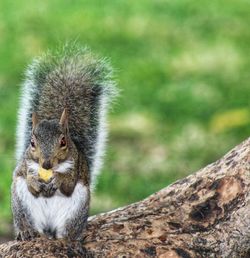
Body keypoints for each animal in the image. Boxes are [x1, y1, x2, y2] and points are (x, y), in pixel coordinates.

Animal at [11, 43, 116, 240]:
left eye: (63, 142)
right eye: (32, 143)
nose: (46, 164)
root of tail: (48, 228)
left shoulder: (75, 169)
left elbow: (67, 185)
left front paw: (58, 178)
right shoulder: (25, 166)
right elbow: (29, 180)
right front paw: (35, 181)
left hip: (77, 207)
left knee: (67, 230)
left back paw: (69, 238)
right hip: (21, 202)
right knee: (27, 220)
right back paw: (27, 231)